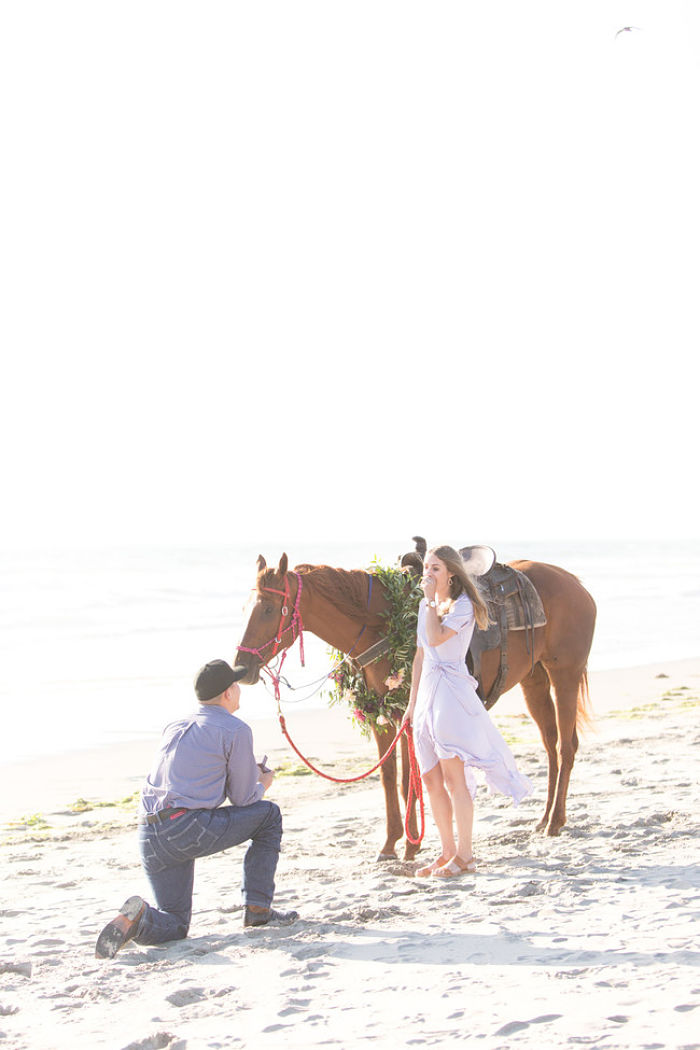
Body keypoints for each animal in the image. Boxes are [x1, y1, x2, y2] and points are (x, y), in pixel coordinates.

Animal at [235, 554, 596, 856]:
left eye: (268, 609)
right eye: (247, 607)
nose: (241, 667)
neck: (380, 623)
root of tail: (576, 583)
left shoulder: (406, 718)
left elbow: (409, 779)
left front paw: (411, 845)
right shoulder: (380, 716)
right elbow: (388, 777)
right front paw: (391, 844)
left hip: (564, 675)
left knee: (566, 746)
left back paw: (555, 821)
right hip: (534, 681)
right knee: (550, 745)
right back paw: (545, 818)